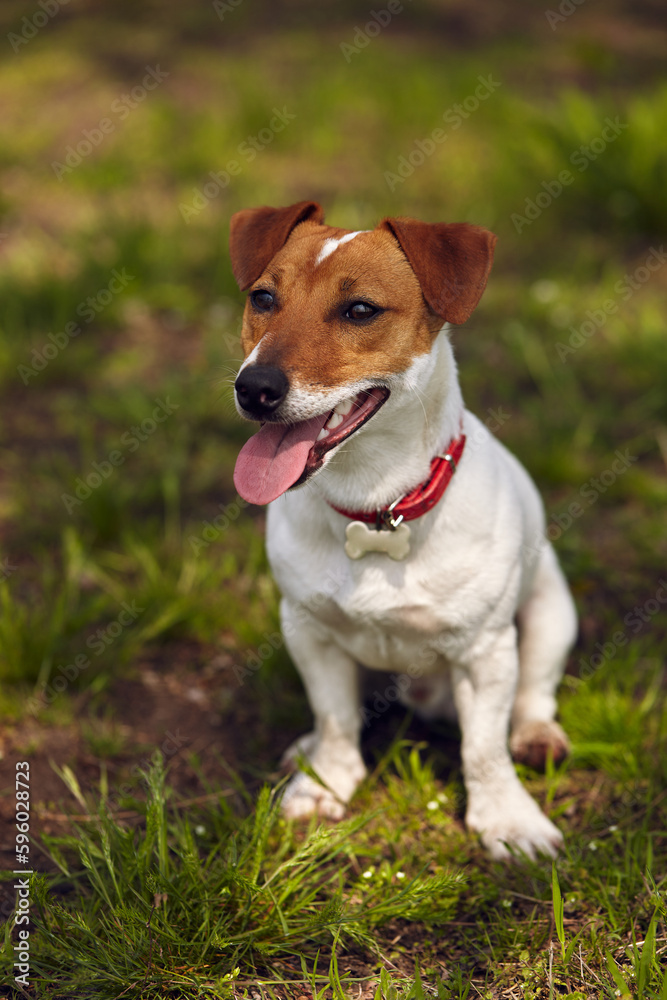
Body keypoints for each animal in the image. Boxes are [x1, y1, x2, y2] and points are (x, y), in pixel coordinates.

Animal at [227, 199, 576, 856]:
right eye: (262, 298)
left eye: (360, 310)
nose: (254, 388)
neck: (375, 508)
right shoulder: (308, 630)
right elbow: (335, 718)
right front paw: (326, 784)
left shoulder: (486, 652)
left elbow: (484, 748)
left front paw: (507, 819)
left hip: (550, 611)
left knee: (531, 696)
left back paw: (536, 735)